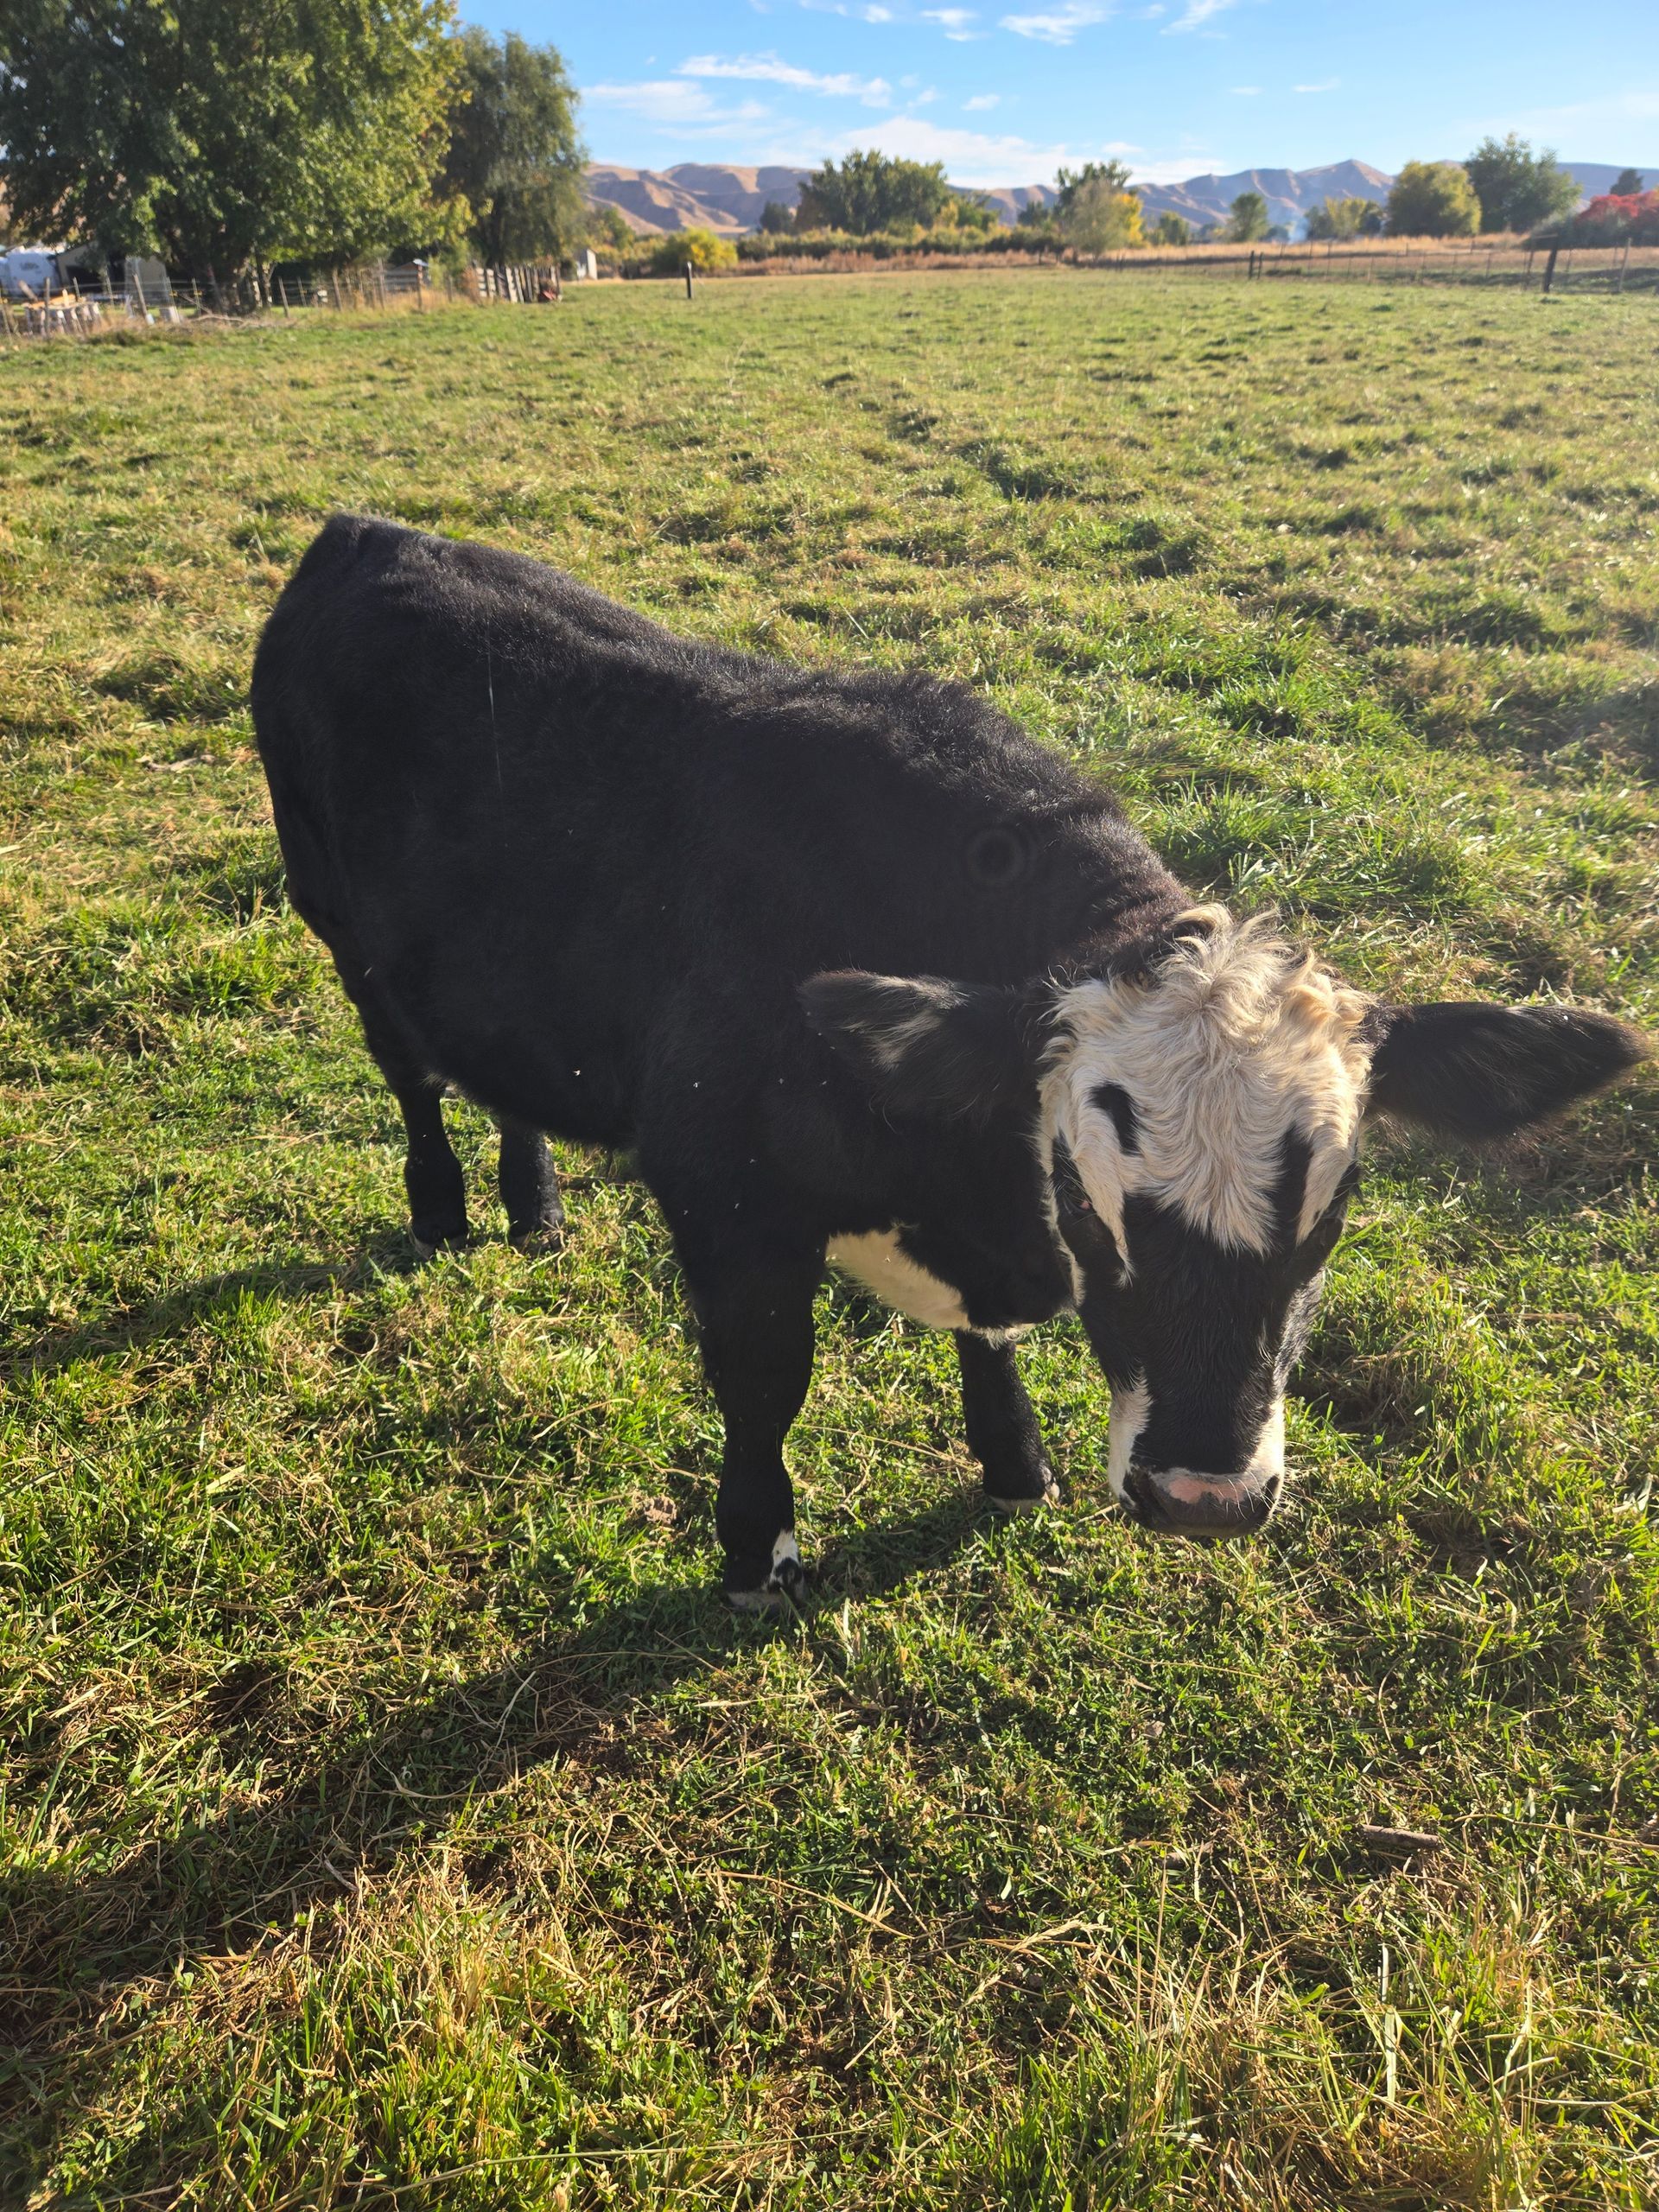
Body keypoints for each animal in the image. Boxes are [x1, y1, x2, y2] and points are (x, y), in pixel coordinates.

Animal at [251, 516, 1647, 1608]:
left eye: (1336, 1203)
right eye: (1091, 1196)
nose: (1202, 1494)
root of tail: (365, 530)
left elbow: (992, 1342)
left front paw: (1014, 1466)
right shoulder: (725, 1197)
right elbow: (767, 1385)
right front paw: (757, 1552)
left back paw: (535, 1205)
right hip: (340, 927)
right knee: (411, 1076)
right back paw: (445, 1211)